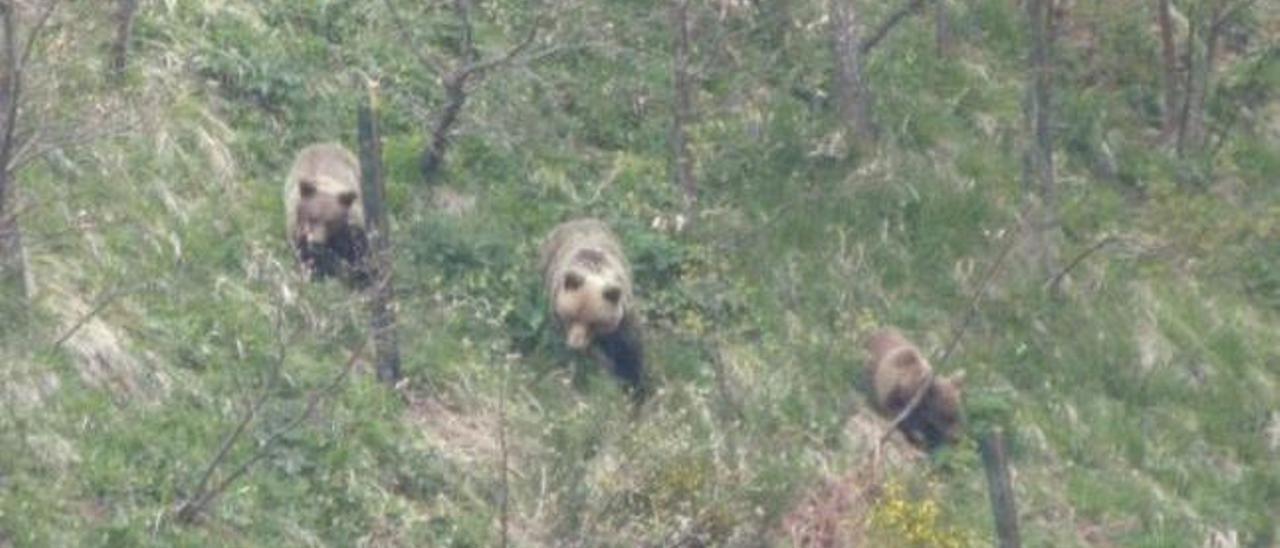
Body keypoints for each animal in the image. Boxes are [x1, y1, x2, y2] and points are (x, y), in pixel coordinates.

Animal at [285, 141, 371, 286]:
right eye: (312, 218)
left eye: (330, 222)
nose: (317, 242)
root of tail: (323, 144)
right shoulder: (298, 232)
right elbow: (306, 257)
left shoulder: (351, 229)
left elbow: (357, 253)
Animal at [537, 217, 645, 396]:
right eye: (569, 317)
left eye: (593, 323)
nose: (574, 345)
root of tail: (576, 219)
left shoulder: (624, 320)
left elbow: (630, 352)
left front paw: (635, 386)